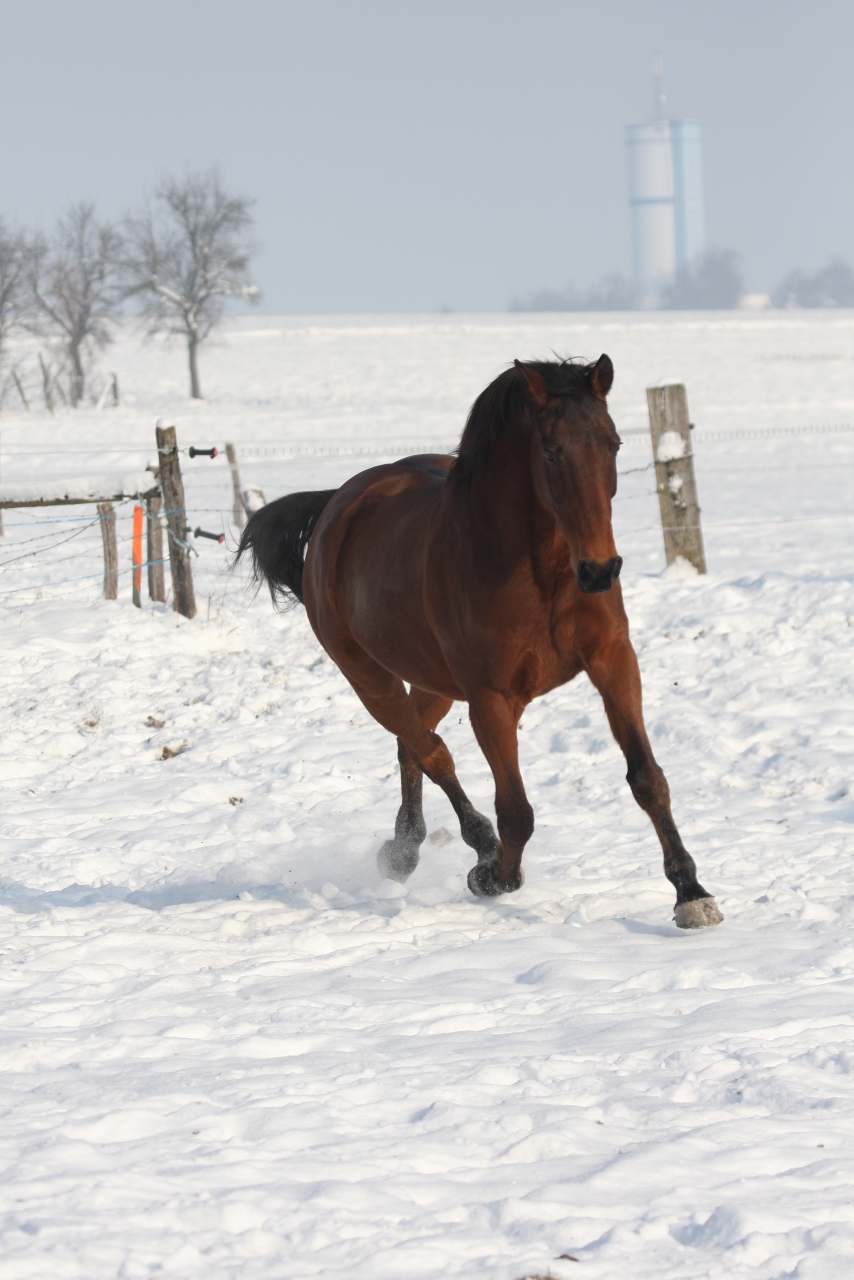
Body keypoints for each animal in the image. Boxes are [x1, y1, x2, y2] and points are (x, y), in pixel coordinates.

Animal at [237, 355, 722, 929]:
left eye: (614, 444)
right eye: (550, 451)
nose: (600, 570)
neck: (541, 572)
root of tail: (338, 502)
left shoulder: (613, 662)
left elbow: (647, 778)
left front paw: (691, 892)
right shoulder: (491, 699)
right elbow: (515, 812)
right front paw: (492, 876)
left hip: (433, 681)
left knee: (412, 746)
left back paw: (404, 847)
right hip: (369, 678)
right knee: (432, 752)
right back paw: (468, 844)